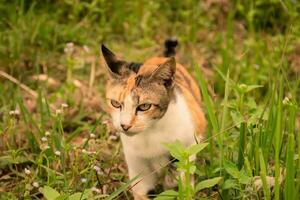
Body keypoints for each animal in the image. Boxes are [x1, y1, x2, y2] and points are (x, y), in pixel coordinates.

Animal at [102, 39, 205, 199]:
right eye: (115, 104)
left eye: (144, 106)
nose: (124, 125)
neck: (150, 133)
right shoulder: (137, 166)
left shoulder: (191, 142)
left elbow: (181, 173)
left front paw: (173, 182)